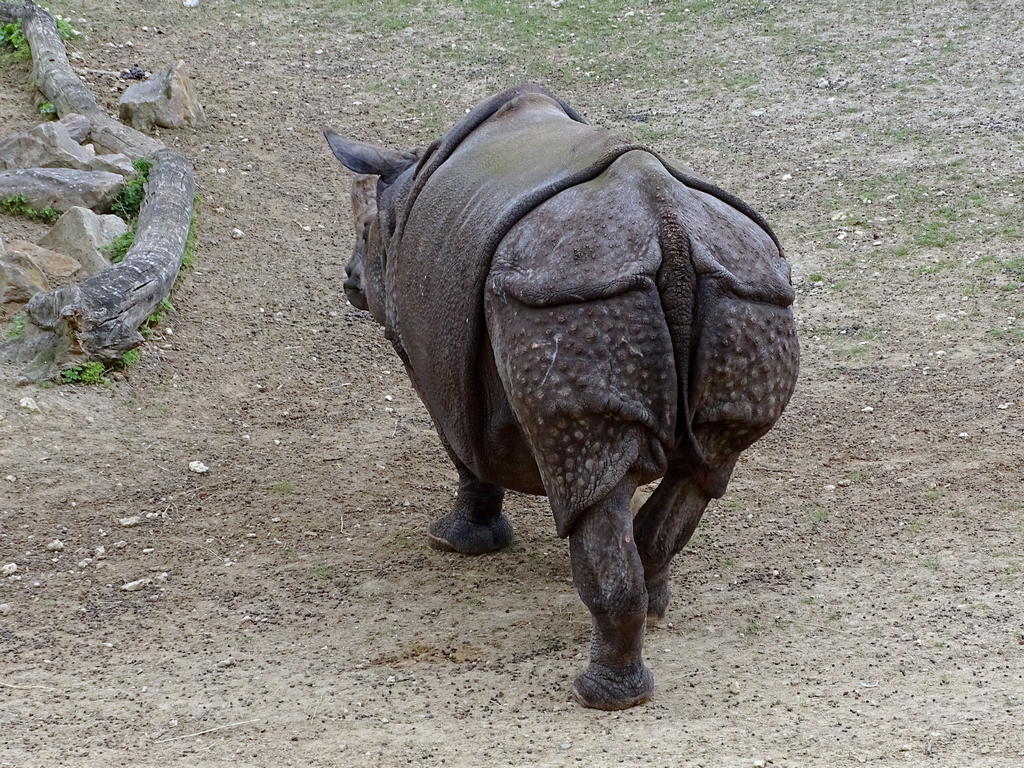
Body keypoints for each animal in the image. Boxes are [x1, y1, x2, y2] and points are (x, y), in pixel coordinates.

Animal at [324, 84, 799, 710]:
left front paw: (454, 543)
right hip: (746, 290)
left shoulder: (436, 372)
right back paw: (653, 614)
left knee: (590, 468)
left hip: (569, 296)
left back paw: (599, 698)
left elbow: (463, 453)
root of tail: (668, 227)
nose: (349, 281)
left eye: (362, 234)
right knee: (701, 470)